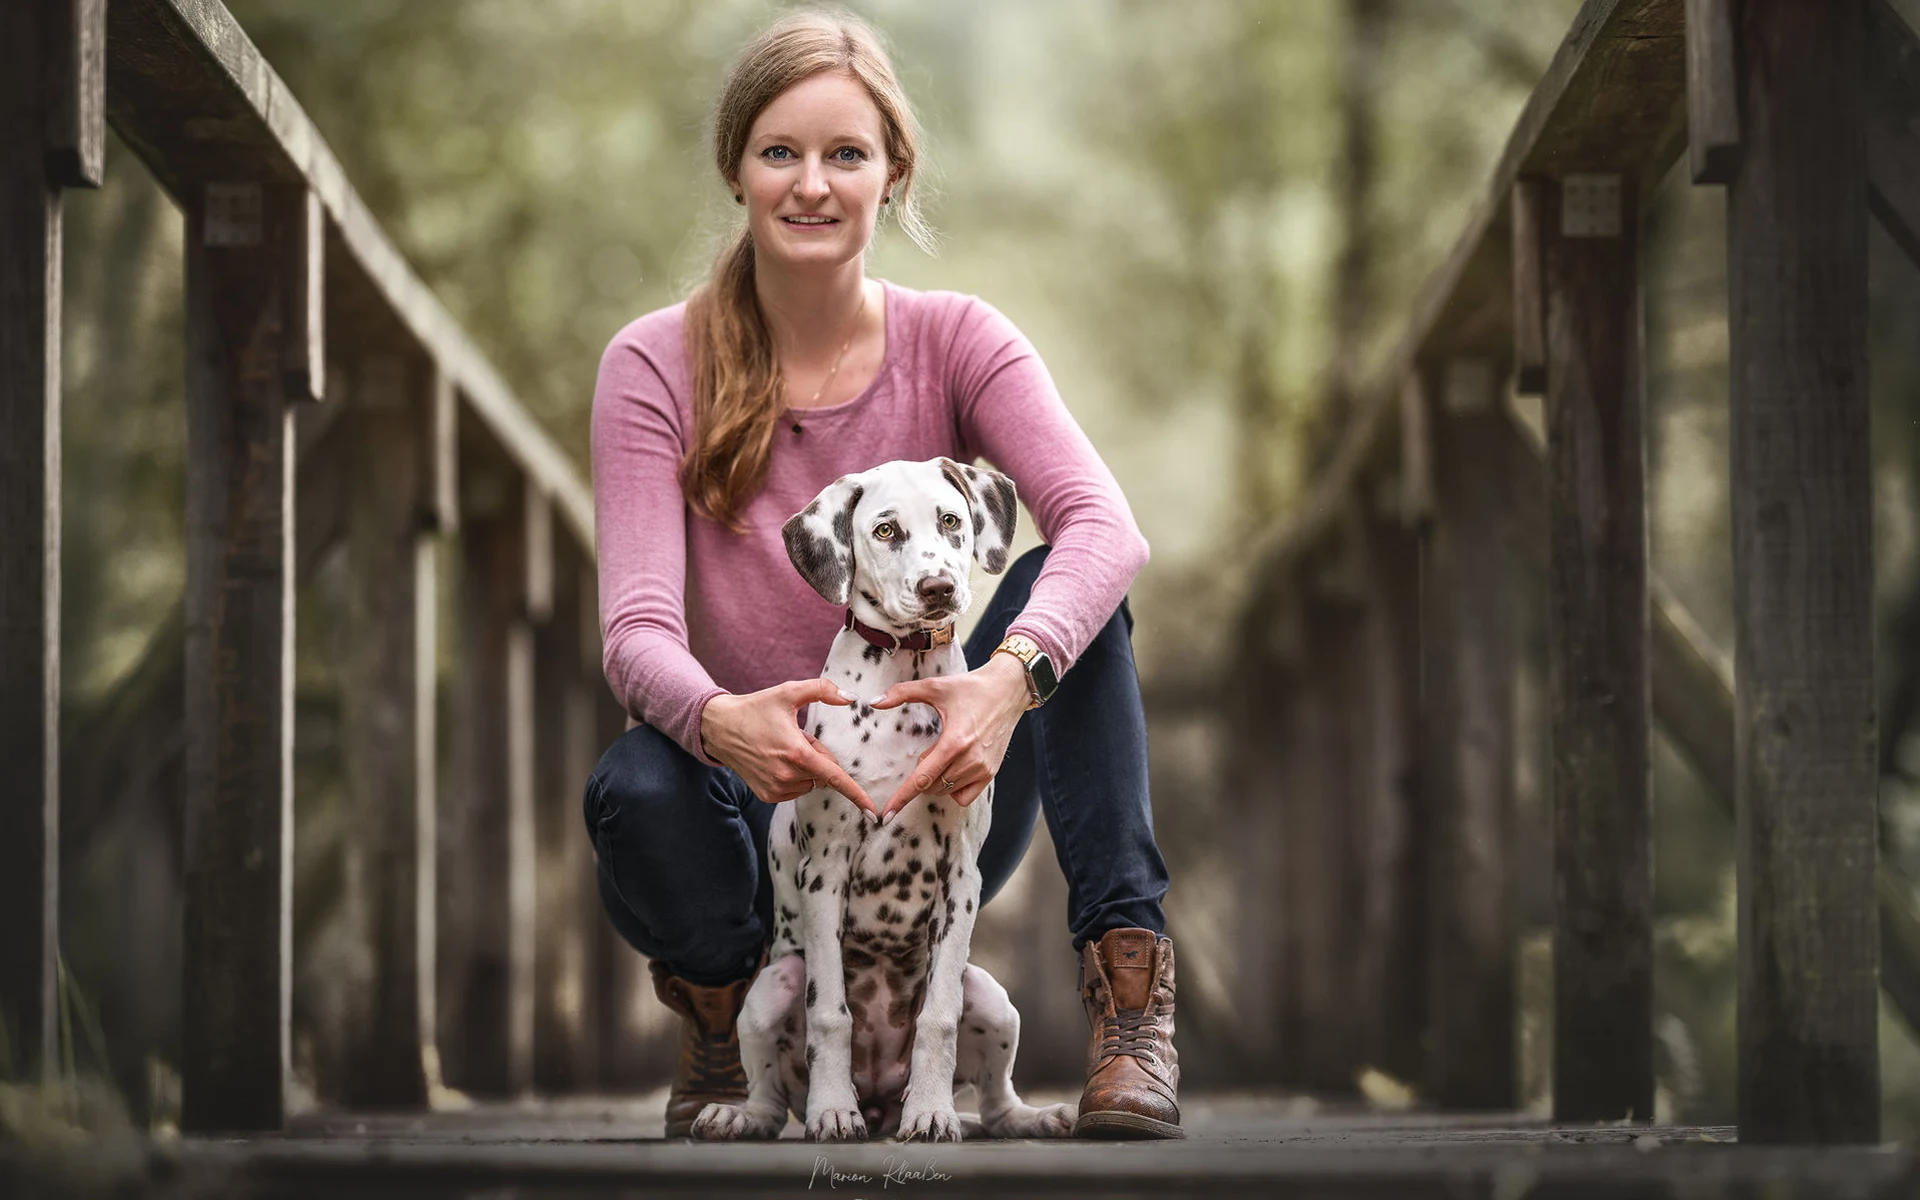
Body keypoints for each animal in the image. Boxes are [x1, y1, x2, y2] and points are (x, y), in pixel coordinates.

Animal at [691, 453, 1082, 1136]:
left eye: (950, 520)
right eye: (885, 530)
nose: (938, 588)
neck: (906, 673)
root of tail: (879, 1100)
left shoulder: (961, 876)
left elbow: (938, 1016)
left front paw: (929, 1112)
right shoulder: (826, 872)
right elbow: (829, 1015)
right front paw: (831, 1110)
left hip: (991, 996)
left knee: (997, 1101)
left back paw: (1032, 1117)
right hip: (772, 987)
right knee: (769, 1093)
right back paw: (746, 1116)